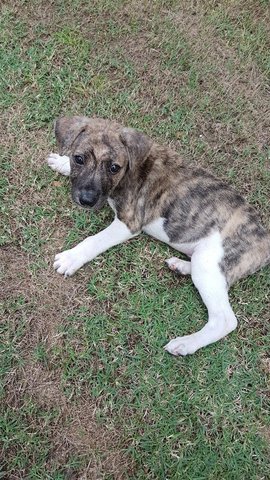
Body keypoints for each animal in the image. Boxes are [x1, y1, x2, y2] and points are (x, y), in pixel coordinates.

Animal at [47, 116, 270, 356]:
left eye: (114, 168)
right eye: (78, 159)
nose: (86, 200)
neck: (130, 172)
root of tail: (264, 237)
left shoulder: (129, 223)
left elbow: (94, 240)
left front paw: (71, 258)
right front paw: (61, 162)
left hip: (212, 262)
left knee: (225, 320)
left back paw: (186, 343)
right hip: (207, 263)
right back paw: (181, 266)